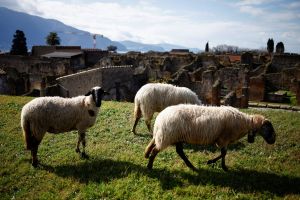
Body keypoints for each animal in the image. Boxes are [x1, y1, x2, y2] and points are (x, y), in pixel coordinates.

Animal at [144, 104, 276, 171]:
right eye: (269, 128)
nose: (273, 140)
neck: (245, 123)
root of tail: (160, 118)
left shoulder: (223, 139)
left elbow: (224, 153)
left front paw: (220, 165)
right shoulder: (223, 138)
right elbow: (224, 153)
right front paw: (217, 164)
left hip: (172, 136)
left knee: (179, 151)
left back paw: (192, 166)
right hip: (167, 136)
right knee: (155, 150)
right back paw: (149, 166)